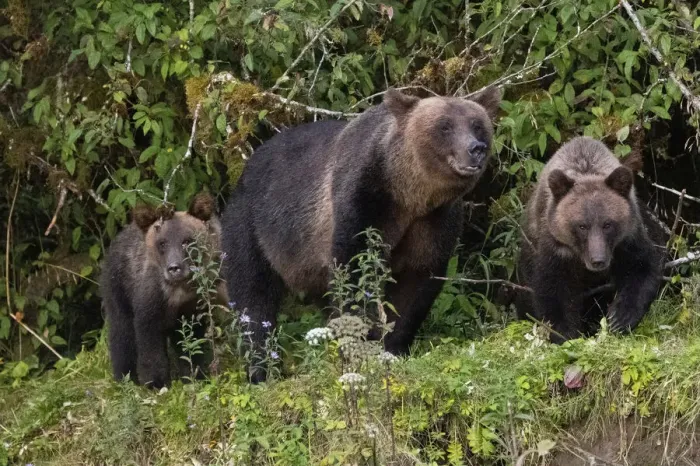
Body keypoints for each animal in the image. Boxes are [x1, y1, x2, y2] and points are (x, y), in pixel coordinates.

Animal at [100, 192, 227, 388]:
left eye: (187, 241)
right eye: (162, 243)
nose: (174, 268)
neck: (178, 291)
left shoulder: (192, 307)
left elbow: (191, 340)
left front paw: (195, 374)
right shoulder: (149, 301)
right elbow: (149, 342)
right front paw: (156, 381)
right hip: (117, 288)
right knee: (121, 331)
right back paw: (124, 376)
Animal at [220, 87, 502, 383]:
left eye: (478, 125)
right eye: (444, 126)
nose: (476, 149)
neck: (410, 196)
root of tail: (244, 171)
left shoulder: (434, 222)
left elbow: (417, 283)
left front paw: (391, 347)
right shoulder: (365, 199)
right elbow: (355, 270)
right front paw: (360, 345)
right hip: (253, 226)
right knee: (253, 292)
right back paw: (261, 369)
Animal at [515, 136, 665, 343]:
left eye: (607, 224)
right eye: (582, 226)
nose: (598, 260)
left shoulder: (627, 239)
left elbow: (641, 268)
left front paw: (619, 318)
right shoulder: (555, 246)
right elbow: (553, 288)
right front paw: (564, 333)